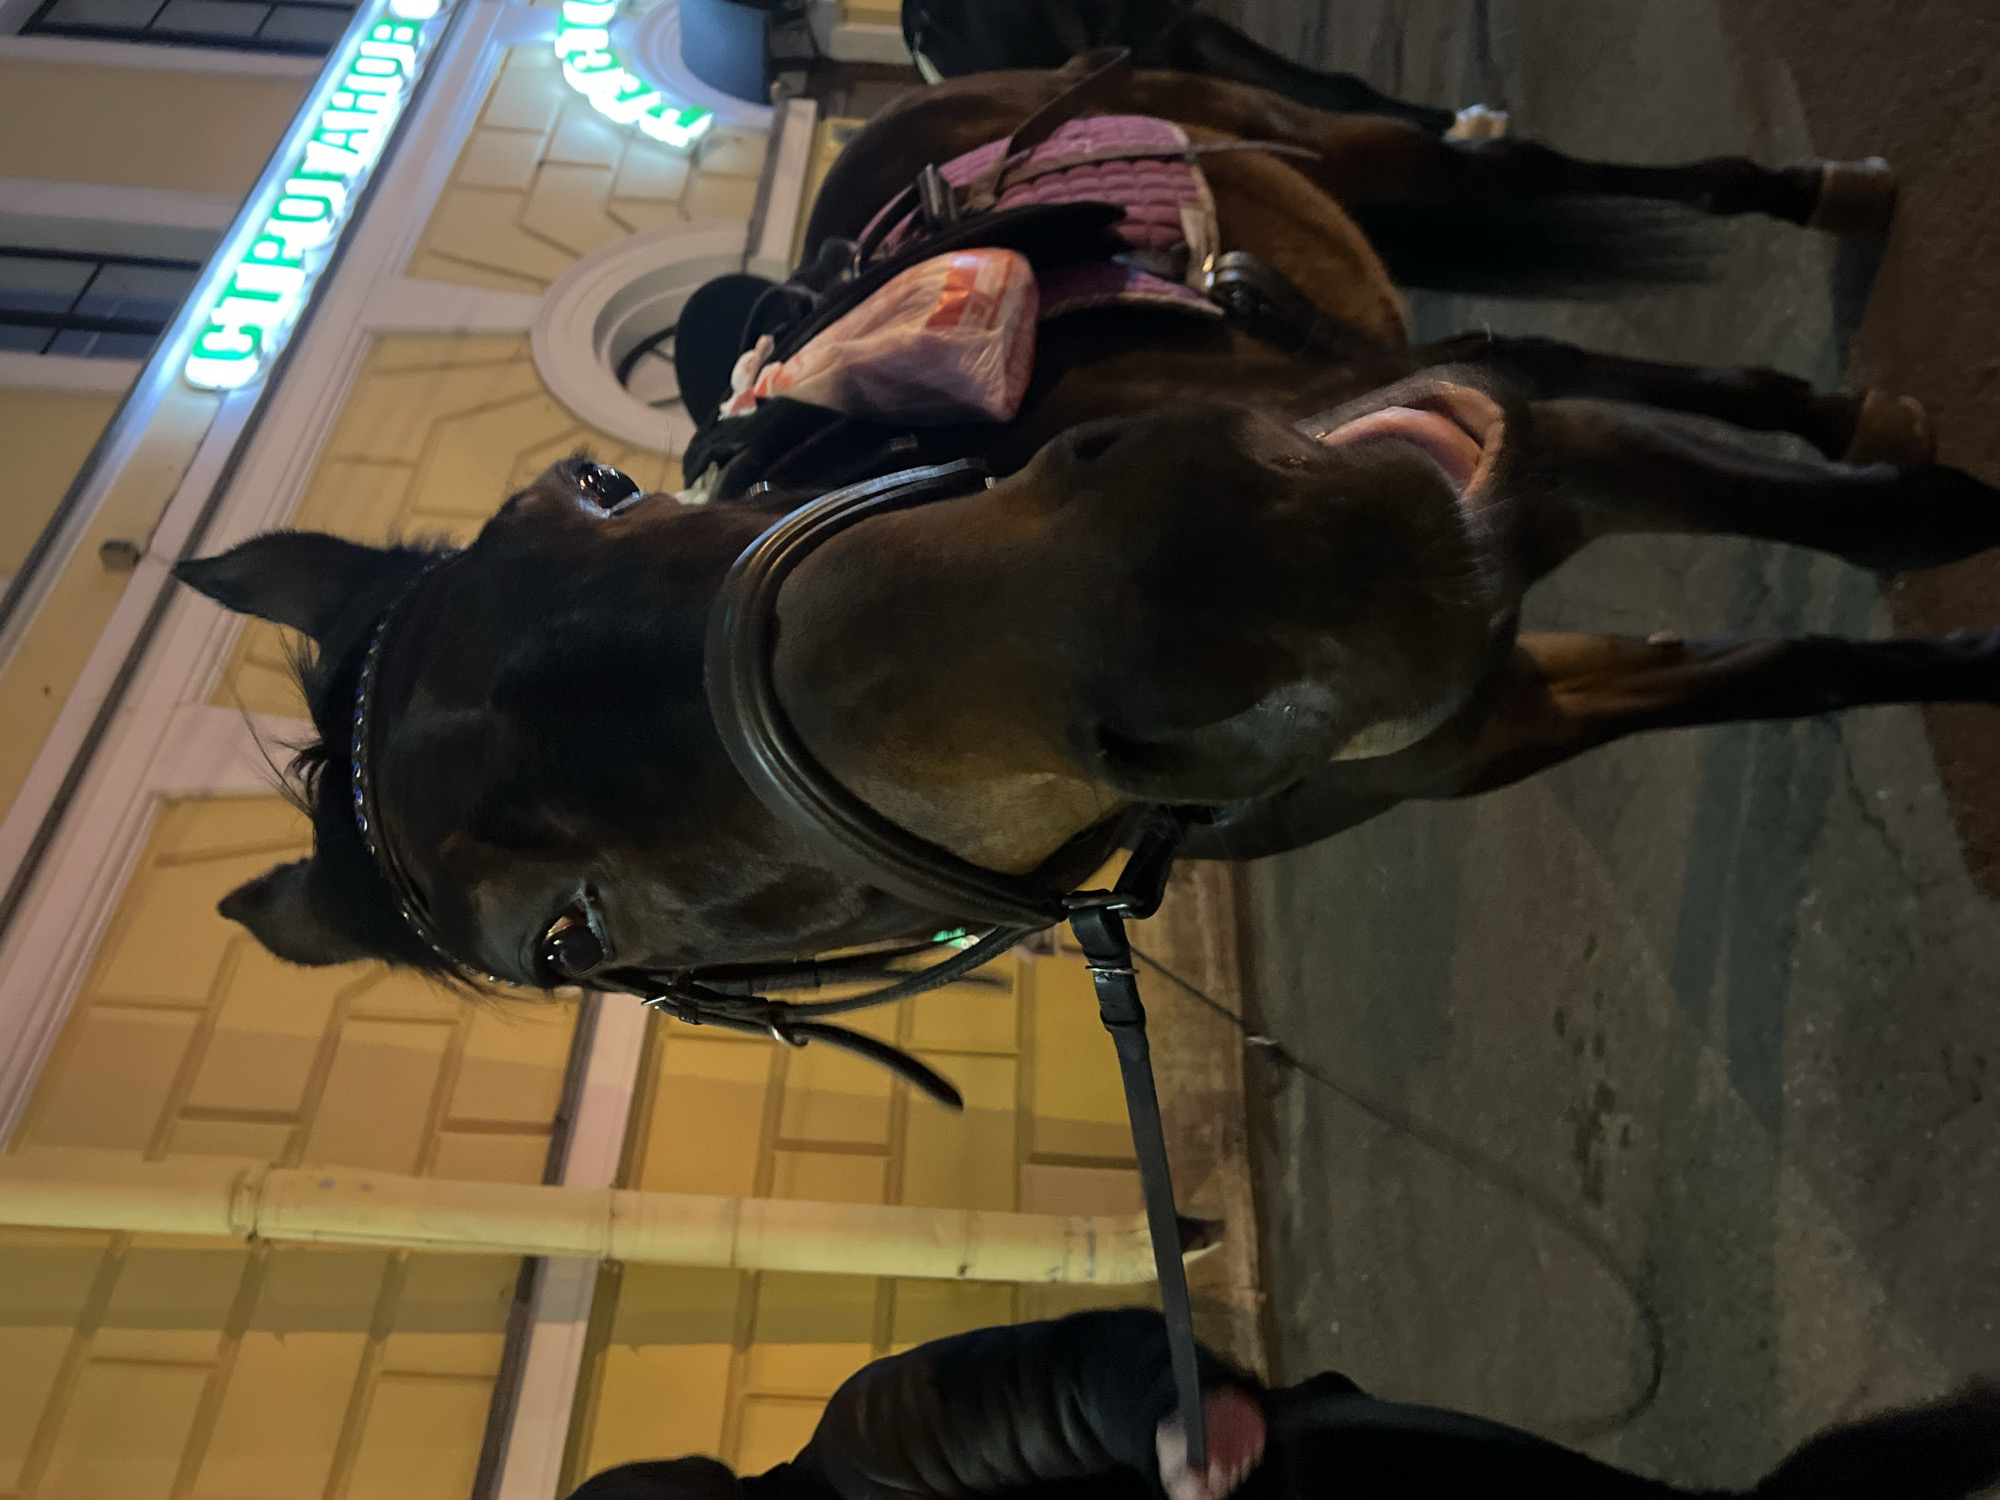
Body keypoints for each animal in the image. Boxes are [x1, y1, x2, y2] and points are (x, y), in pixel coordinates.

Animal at [172, 60, 2000, 996]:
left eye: (593, 491)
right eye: (562, 943)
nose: (1252, 573)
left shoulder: (1520, 455)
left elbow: (1868, 531)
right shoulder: (1492, 707)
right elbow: (1790, 669)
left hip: (1331, 160)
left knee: (1563, 215)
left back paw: (1828, 229)